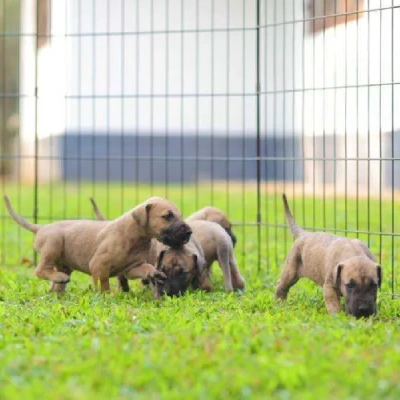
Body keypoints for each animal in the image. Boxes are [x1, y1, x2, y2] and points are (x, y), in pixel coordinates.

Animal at [3, 195, 192, 292]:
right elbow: (103, 284)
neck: (135, 237)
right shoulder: (99, 265)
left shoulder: (131, 268)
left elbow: (145, 268)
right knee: (40, 270)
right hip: (53, 244)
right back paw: (59, 278)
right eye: (167, 216)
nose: (189, 232)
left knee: (54, 280)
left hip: (63, 263)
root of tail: (41, 227)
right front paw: (106, 297)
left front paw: (154, 273)